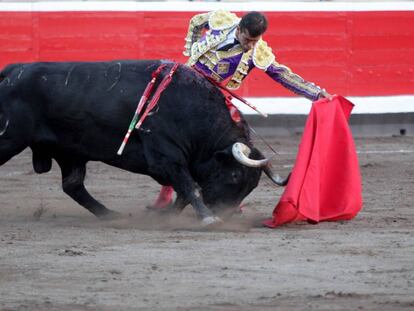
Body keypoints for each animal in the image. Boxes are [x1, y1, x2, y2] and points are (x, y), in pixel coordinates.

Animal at [0, 61, 284, 225]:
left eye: (252, 185)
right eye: (234, 175)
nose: (227, 214)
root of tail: (13, 71)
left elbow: (185, 191)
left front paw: (166, 216)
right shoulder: (166, 155)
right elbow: (190, 188)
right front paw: (208, 218)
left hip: (69, 152)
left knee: (73, 185)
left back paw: (109, 215)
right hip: (10, 138)